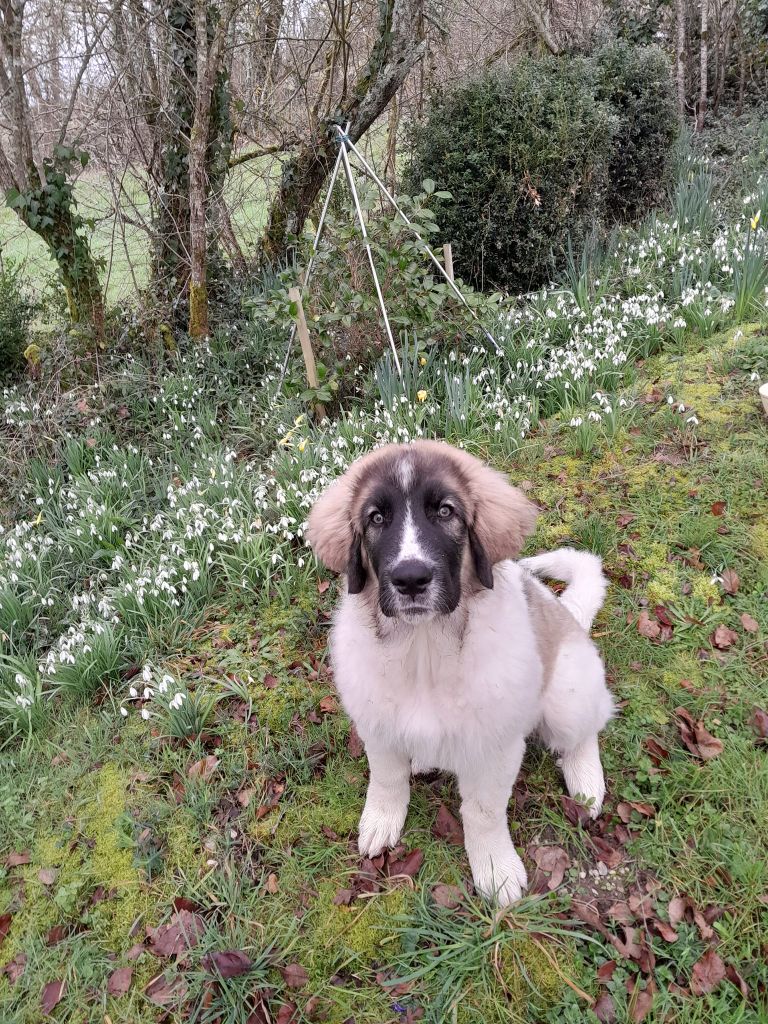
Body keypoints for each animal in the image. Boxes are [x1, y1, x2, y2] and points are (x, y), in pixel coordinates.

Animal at [307, 440, 614, 905]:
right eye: (376, 518)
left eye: (445, 511)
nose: (410, 579)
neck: (425, 649)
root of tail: (570, 617)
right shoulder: (378, 724)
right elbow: (387, 778)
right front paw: (381, 820)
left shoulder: (495, 748)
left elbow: (483, 812)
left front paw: (495, 869)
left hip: (567, 695)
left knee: (585, 731)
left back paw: (586, 782)